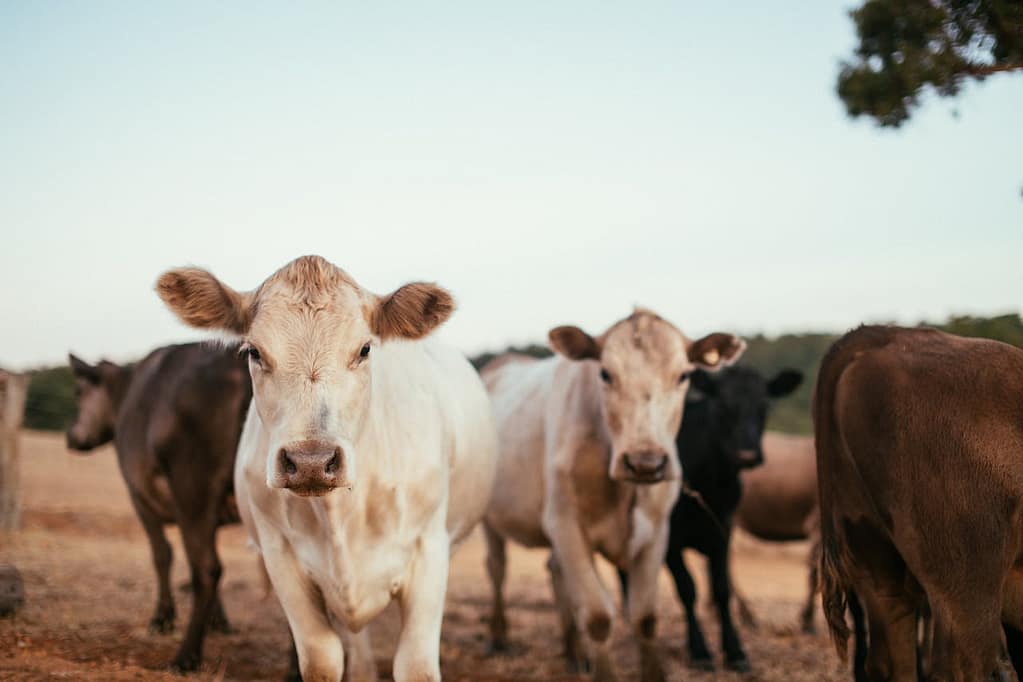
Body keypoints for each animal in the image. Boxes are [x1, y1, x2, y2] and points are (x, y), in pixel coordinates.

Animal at [66, 343, 251, 671]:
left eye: (78, 391)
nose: (71, 436)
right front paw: (219, 620)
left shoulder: (139, 497)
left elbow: (161, 554)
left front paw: (162, 618)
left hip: (193, 486)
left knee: (206, 569)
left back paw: (186, 656)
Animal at [155, 255, 498, 682]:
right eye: (254, 351)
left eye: (365, 349)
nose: (311, 462)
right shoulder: (280, 556)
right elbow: (322, 659)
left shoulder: (430, 552)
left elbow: (415, 665)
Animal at [481, 309, 746, 682]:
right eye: (605, 373)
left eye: (683, 375)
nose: (645, 463)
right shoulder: (566, 526)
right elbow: (597, 616)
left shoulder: (658, 533)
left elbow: (646, 616)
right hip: (490, 519)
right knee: (497, 569)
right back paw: (498, 637)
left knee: (555, 572)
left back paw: (574, 653)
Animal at [628, 365, 801, 672]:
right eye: (721, 406)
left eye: (764, 406)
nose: (747, 455)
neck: (710, 482)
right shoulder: (670, 539)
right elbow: (687, 589)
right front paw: (699, 651)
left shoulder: (723, 530)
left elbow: (722, 589)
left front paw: (735, 651)